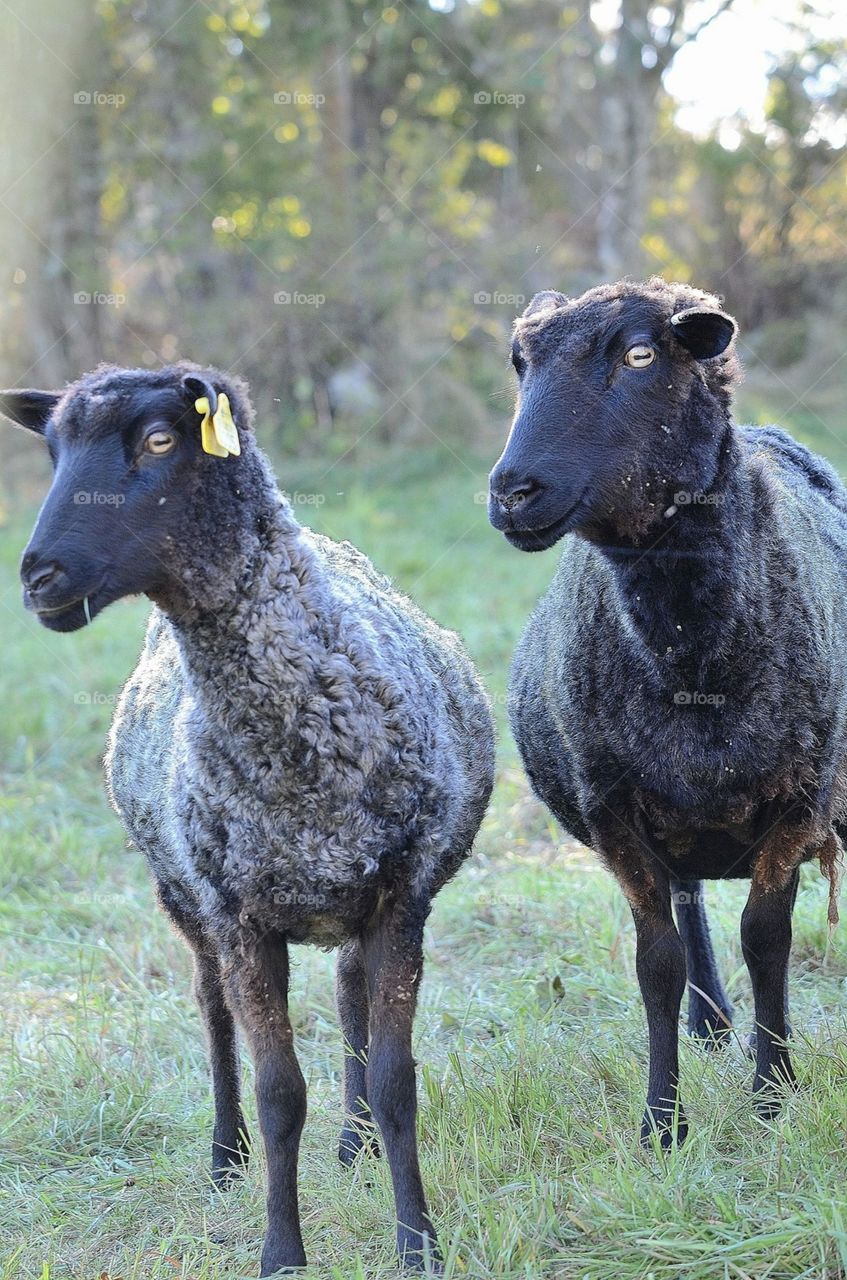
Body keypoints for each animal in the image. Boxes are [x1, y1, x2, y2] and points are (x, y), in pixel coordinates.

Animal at [0, 362, 495, 1275]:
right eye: (50, 451)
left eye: (161, 440)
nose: (38, 580)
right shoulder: (239, 919)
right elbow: (278, 1094)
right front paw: (281, 1251)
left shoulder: (400, 899)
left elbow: (395, 1079)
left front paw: (416, 1242)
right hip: (183, 898)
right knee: (210, 1011)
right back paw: (224, 1156)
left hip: (346, 902)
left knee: (347, 998)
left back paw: (354, 1144)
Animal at [488, 278, 846, 1147]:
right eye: (519, 361)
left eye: (640, 354)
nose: (512, 493)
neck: (691, 655)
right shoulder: (615, 810)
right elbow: (657, 961)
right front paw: (661, 1123)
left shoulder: (798, 798)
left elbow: (767, 940)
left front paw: (772, 1092)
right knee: (687, 902)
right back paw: (710, 1024)